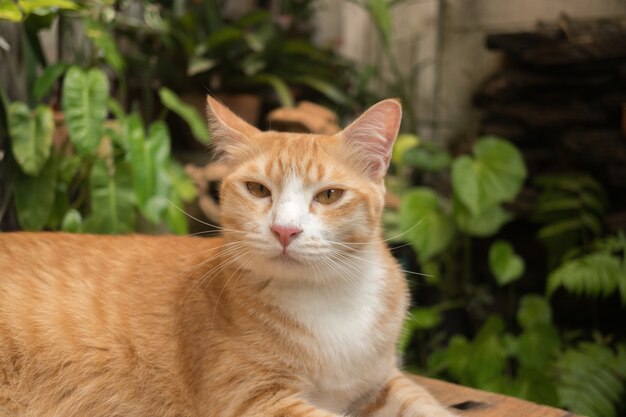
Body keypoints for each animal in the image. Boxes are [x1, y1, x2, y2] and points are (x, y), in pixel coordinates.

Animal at [0, 98, 450, 416]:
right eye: (258, 190)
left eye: (329, 196)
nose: (284, 230)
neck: (326, 296)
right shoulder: (249, 398)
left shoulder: (380, 382)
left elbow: (427, 405)